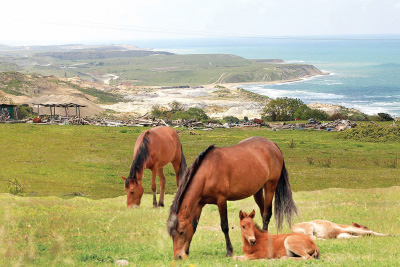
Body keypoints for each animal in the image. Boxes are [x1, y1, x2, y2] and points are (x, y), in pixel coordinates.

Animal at [166, 137, 296, 260]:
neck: (208, 172)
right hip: (257, 190)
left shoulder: (221, 200)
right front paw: (187, 251)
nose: (178, 257)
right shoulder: (199, 205)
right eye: (171, 234)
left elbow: (224, 226)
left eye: (181, 232)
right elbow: (194, 226)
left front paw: (229, 251)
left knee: (266, 215)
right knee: (262, 212)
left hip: (270, 186)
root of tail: (273, 145)